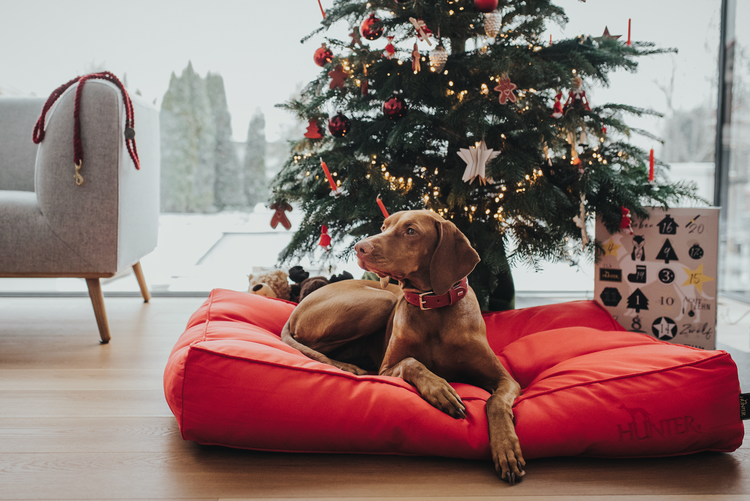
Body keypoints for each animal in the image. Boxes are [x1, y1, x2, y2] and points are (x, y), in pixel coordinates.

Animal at [280, 209, 524, 482]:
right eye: (383, 227)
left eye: (411, 231)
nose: (359, 248)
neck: (433, 306)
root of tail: (298, 307)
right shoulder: (387, 369)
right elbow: (411, 362)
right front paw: (440, 389)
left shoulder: (506, 380)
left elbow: (495, 403)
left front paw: (506, 449)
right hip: (382, 299)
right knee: (314, 347)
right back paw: (350, 367)